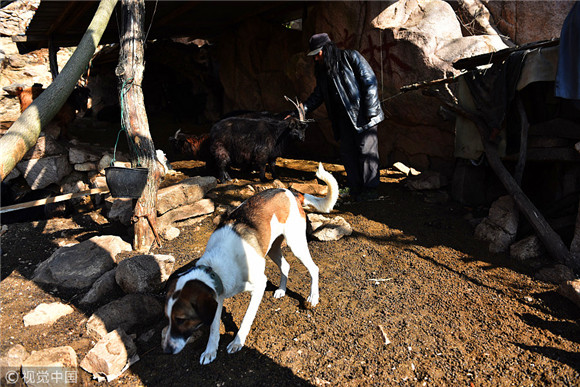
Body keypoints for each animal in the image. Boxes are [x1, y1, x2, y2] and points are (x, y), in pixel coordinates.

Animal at [161, 163, 338, 364]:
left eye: (181, 319)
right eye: (167, 317)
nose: (166, 350)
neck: (216, 265)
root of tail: (290, 191)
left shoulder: (259, 285)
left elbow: (247, 317)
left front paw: (237, 341)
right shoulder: (218, 294)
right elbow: (213, 326)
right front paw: (210, 350)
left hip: (296, 244)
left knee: (314, 268)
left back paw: (313, 297)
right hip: (271, 248)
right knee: (285, 266)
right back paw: (281, 290)